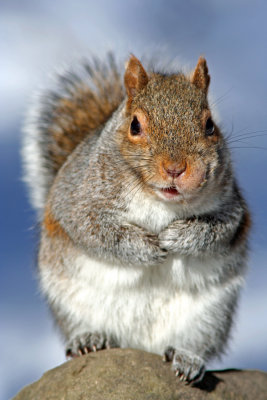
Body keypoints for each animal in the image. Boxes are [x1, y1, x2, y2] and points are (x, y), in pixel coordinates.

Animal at [23, 51, 251, 382]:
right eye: (135, 126)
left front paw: (177, 237)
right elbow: (94, 231)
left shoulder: (232, 206)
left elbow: (219, 231)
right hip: (69, 300)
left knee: (196, 343)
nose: (175, 169)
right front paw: (148, 247)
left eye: (210, 125)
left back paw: (188, 358)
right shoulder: (77, 201)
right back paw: (88, 339)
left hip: (210, 316)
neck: (160, 199)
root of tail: (140, 345)